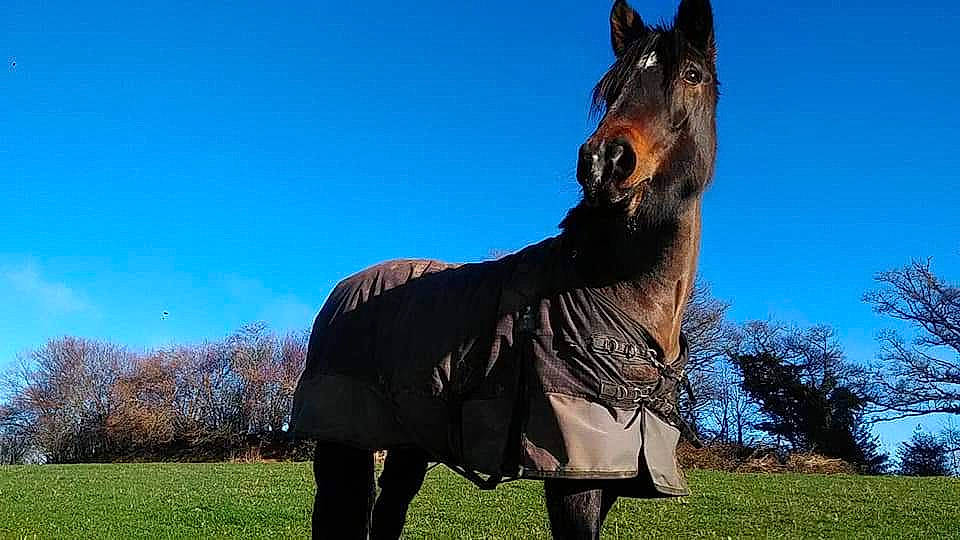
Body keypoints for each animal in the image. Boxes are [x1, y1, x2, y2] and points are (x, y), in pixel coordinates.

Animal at [290, 0, 719, 538]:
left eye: (692, 75)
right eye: (610, 89)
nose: (605, 160)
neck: (615, 290)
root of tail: (345, 289)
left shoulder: (609, 471)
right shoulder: (572, 477)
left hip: (409, 444)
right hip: (342, 441)